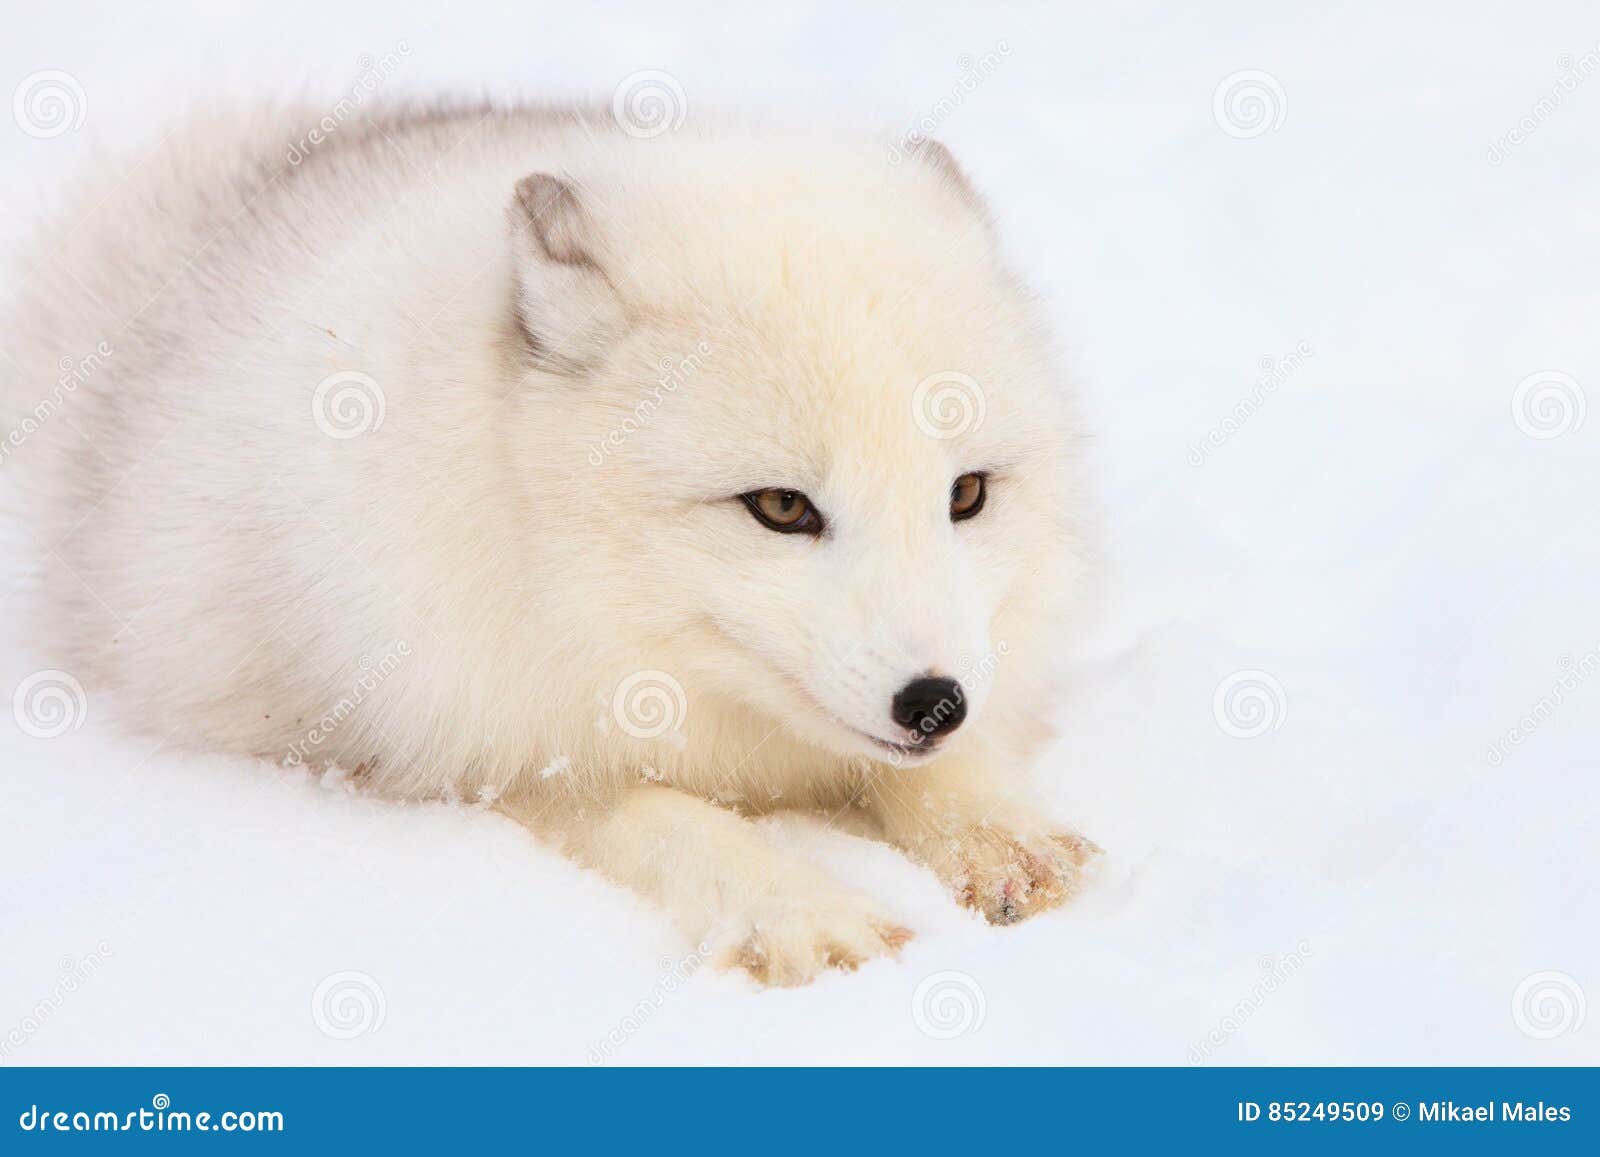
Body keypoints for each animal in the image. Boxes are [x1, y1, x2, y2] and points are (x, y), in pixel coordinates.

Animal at [6, 104, 1100, 985]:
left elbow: (928, 768)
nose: (934, 701)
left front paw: (995, 829)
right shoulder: (464, 751)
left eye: (965, 493)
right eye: (782, 507)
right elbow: (661, 816)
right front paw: (800, 908)